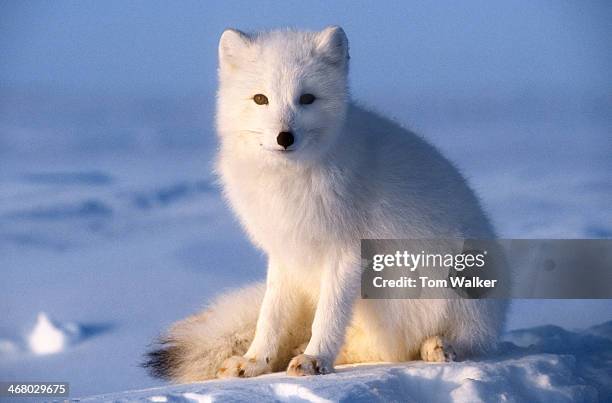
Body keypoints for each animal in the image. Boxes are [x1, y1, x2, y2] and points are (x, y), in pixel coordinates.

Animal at [145, 26, 506, 384]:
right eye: (261, 99)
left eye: (307, 98)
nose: (284, 137)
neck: (289, 182)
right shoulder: (285, 253)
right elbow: (270, 316)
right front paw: (255, 362)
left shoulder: (346, 252)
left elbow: (329, 315)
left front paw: (315, 359)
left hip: (457, 287)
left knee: (460, 341)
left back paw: (437, 346)